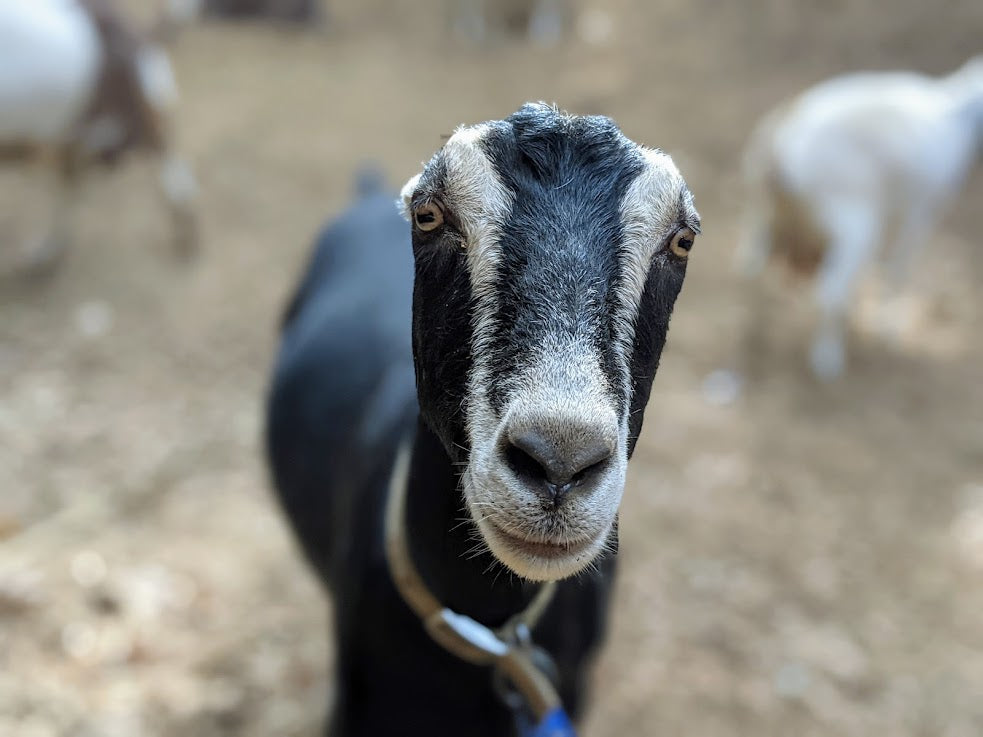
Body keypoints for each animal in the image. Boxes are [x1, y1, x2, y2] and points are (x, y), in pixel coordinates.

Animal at [0, 0, 200, 274]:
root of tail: (137, 37)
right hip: (73, 138)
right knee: (71, 186)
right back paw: (49, 251)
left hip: (130, 123)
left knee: (172, 181)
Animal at [736, 56, 983, 380]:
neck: (957, 113)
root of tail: (780, 153)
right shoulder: (919, 212)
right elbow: (897, 271)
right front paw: (889, 329)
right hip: (855, 225)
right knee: (828, 290)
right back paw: (827, 360)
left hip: (767, 217)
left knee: (754, 267)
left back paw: (757, 335)